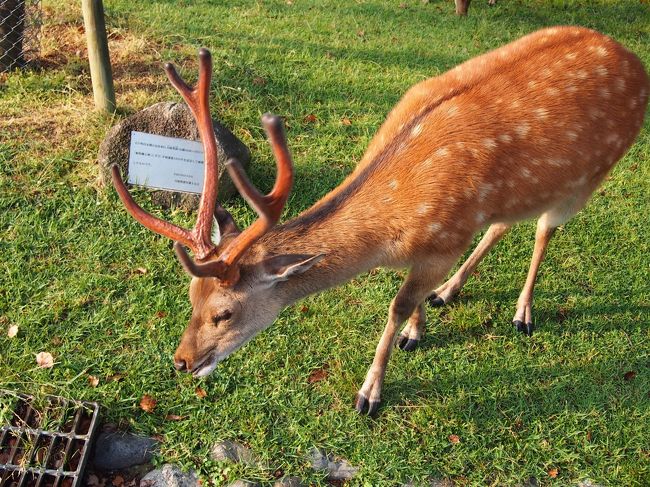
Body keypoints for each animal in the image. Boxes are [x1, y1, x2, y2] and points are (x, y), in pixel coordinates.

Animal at [112, 26, 648, 416]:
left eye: (224, 313)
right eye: (190, 296)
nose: (181, 362)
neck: (391, 235)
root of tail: (632, 57)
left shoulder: (443, 238)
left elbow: (395, 306)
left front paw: (370, 393)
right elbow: (413, 297)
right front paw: (420, 327)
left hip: (592, 174)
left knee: (544, 230)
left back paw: (523, 313)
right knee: (504, 223)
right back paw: (451, 291)